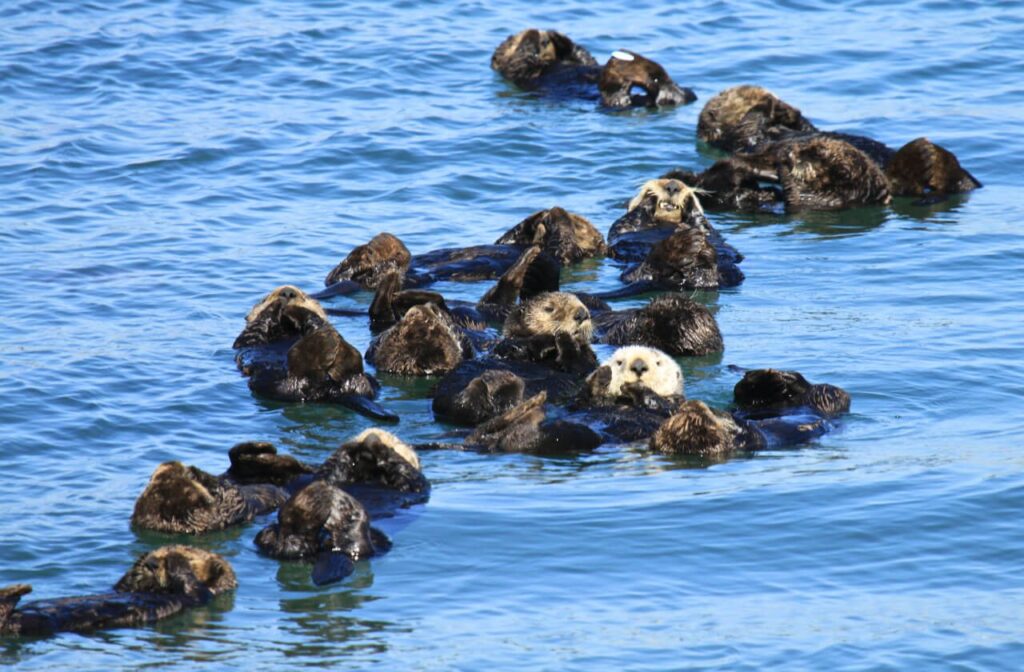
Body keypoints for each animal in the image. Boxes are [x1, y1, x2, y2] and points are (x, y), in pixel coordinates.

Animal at [0, 546, 236, 637]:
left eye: (190, 557)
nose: (152, 564)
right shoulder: (123, 588)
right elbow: (121, 586)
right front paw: (143, 559)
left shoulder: (199, 596)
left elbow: (191, 584)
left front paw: (175, 556)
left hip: (36, 624)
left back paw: (17, 590)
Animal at [492, 30, 696, 108]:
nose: (543, 41)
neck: (548, 63)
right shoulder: (518, 71)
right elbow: (519, 60)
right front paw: (531, 37)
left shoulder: (581, 58)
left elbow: (583, 54)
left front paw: (556, 37)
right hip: (612, 99)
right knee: (617, 97)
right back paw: (626, 66)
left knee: (682, 93)